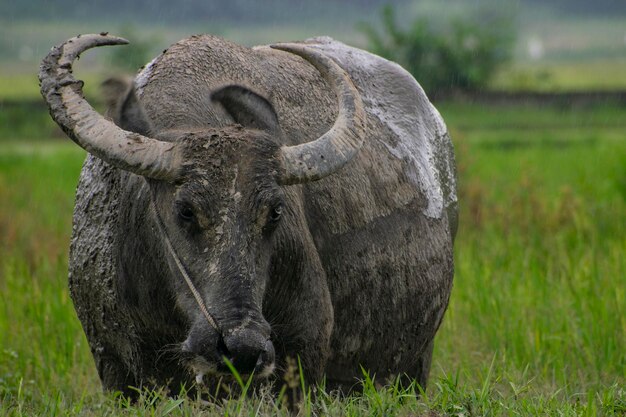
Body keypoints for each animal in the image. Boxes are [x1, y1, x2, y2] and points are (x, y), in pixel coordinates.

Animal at [40, 34, 458, 394]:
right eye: (185, 210)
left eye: (274, 213)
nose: (241, 346)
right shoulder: (114, 365)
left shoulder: (303, 355)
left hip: (416, 363)